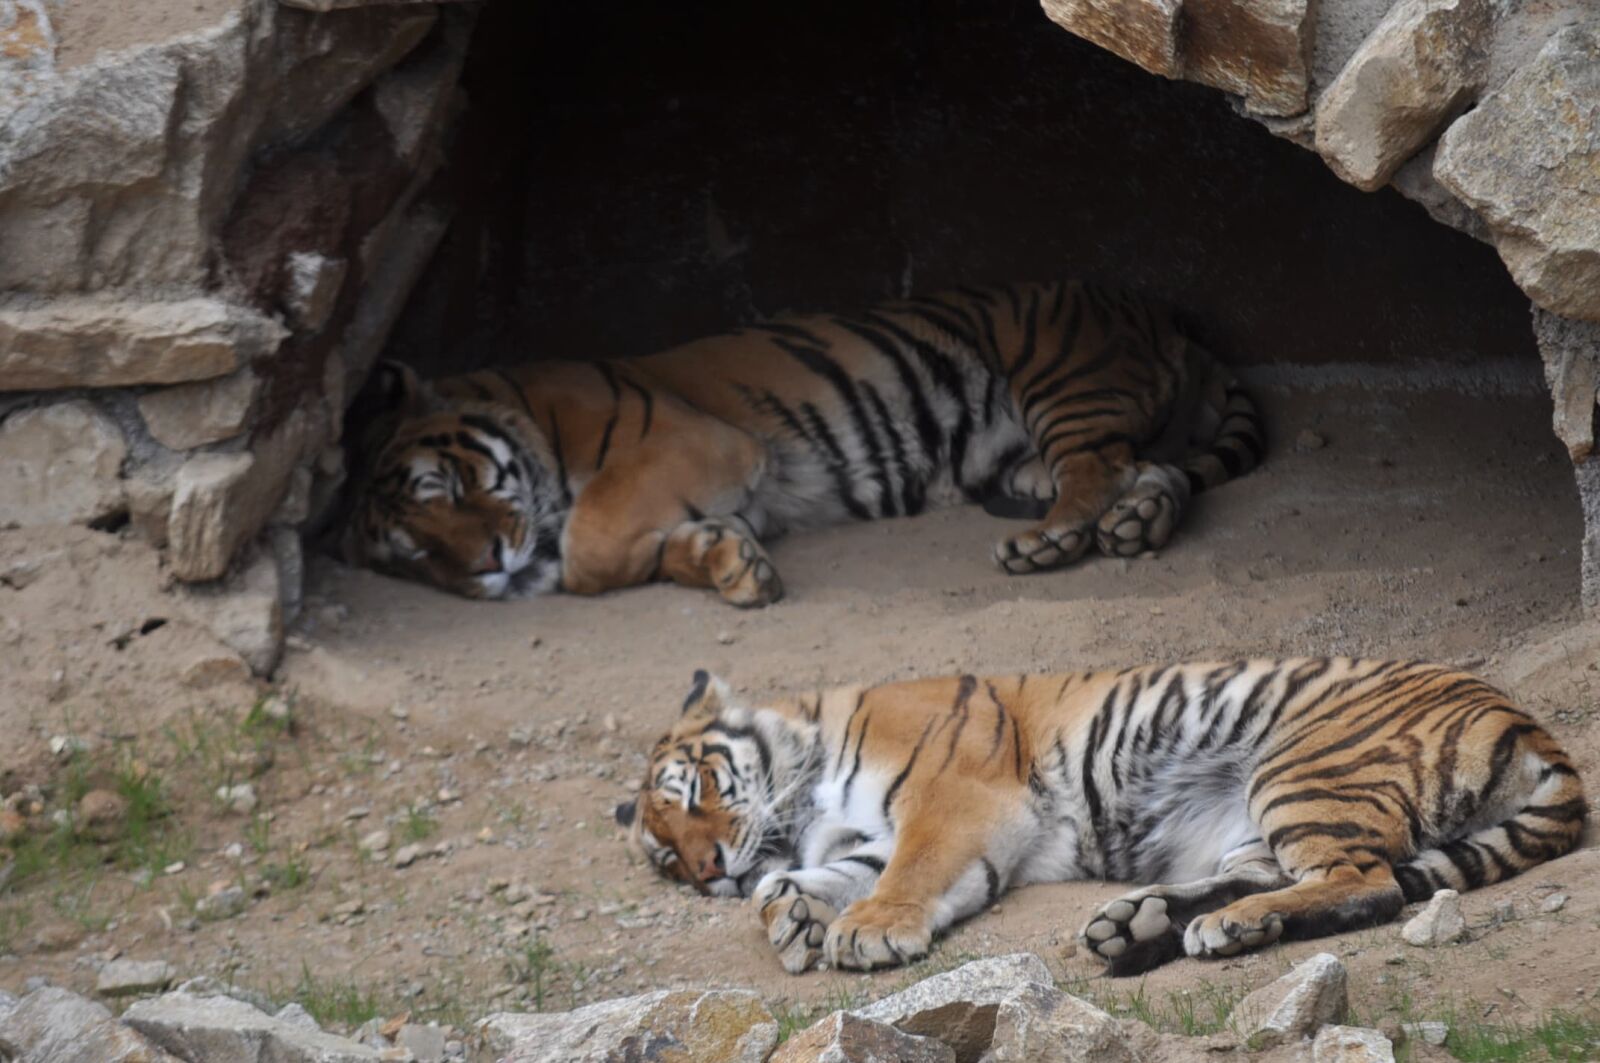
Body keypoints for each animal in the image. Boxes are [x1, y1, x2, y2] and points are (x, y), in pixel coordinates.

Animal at [342, 281, 1262, 601]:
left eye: (447, 490)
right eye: (417, 554)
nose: (486, 567)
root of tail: (1159, 312)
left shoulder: (697, 440)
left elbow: (586, 548)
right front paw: (726, 559)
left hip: (1060, 375)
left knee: (1097, 467)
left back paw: (1051, 542)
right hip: (1041, 446)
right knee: (1148, 469)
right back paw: (1132, 524)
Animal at [616, 659, 1587, 976]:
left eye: (694, 793)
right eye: (664, 854)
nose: (708, 870)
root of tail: (1531, 724)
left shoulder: (953, 798)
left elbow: (907, 874)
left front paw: (860, 930)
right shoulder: (863, 839)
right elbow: (807, 879)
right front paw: (792, 916)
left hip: (1300, 764)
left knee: (1369, 880)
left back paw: (1214, 929)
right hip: (1258, 813)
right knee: (1281, 876)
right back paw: (1142, 924)